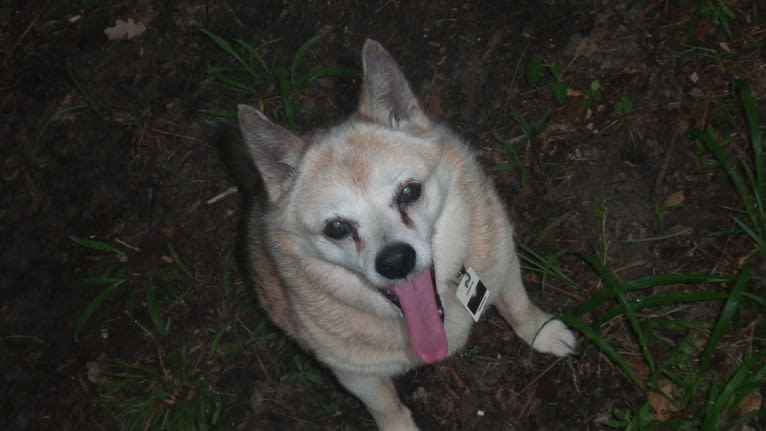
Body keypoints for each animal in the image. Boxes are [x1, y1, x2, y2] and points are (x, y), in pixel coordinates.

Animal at [238, 38, 576, 430]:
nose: (396, 260)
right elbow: (386, 406)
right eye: (337, 228)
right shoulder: (355, 374)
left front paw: (543, 332)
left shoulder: (502, 262)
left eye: (409, 192)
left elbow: (519, 306)